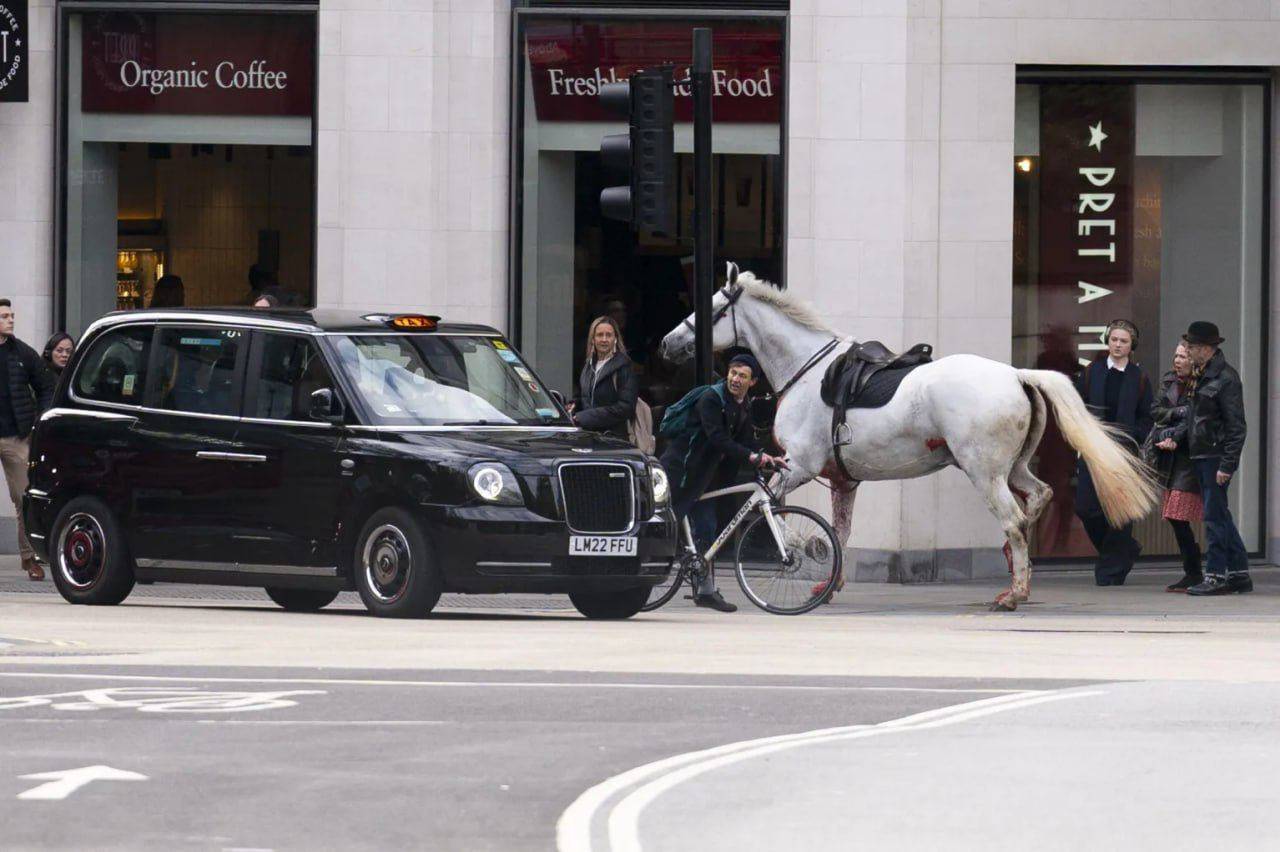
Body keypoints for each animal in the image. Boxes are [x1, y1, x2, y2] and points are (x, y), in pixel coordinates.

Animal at [660, 268, 1162, 606]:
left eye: (712, 308)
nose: (667, 343)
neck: (806, 368)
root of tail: (1017, 375)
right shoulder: (842, 480)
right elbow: (840, 530)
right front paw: (829, 581)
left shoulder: (796, 466)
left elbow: (768, 512)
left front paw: (802, 550)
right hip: (1013, 469)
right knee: (1038, 498)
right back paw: (1015, 567)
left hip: (984, 473)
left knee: (1014, 520)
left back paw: (1014, 592)